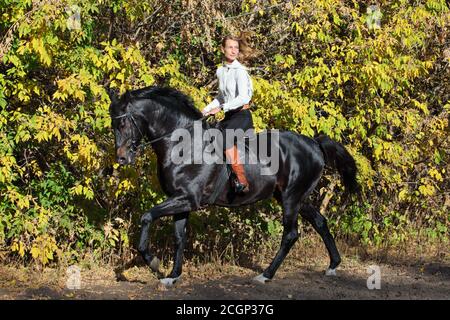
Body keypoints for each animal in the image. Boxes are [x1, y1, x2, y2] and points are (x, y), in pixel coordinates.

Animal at [110, 85, 358, 284]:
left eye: (122, 122)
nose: (121, 158)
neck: (184, 144)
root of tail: (315, 144)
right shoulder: (181, 201)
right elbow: (179, 238)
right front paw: (172, 276)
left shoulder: (187, 199)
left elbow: (147, 217)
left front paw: (153, 262)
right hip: (296, 198)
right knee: (320, 222)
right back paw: (333, 265)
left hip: (291, 198)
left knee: (290, 234)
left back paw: (265, 275)